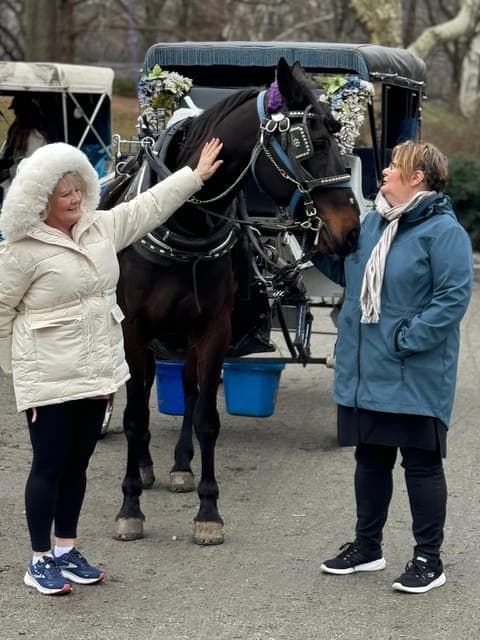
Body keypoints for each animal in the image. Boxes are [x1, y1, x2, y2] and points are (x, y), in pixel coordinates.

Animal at [101, 57, 361, 545]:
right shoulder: (132, 328)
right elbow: (135, 414)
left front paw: (208, 511)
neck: (184, 218)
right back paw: (144, 467)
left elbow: (206, 416)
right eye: (314, 143)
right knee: (142, 391)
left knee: (187, 387)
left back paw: (180, 466)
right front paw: (129, 506)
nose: (351, 228)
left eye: (339, 136)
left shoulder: (212, 329)